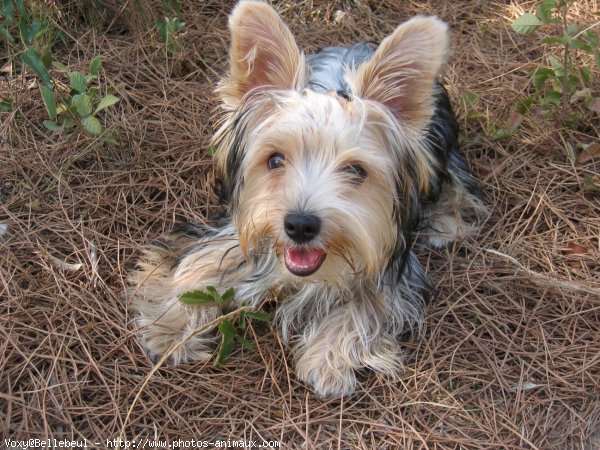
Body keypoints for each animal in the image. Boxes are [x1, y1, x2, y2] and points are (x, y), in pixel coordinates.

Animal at [129, 1, 486, 400]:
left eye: (356, 170)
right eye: (275, 160)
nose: (300, 225)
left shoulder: (392, 265)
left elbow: (368, 305)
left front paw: (327, 361)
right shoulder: (231, 233)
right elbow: (195, 266)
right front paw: (170, 328)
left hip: (443, 149)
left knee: (458, 183)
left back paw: (447, 222)